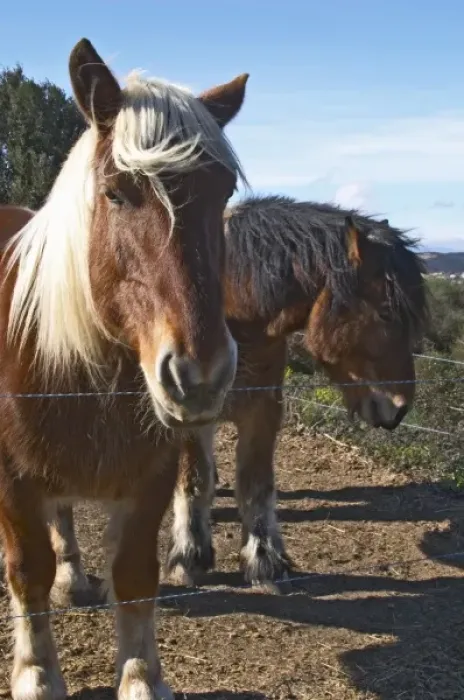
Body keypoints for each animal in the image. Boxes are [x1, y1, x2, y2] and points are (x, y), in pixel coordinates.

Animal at [0, 35, 249, 700]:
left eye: (222, 195)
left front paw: (141, 677)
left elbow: (136, 576)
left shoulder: (151, 474)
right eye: (115, 192)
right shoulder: (12, 479)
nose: (199, 373)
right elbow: (25, 570)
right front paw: (36, 672)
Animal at [18, 194, 428, 600]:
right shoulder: (187, 414)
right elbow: (194, 480)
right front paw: (189, 555)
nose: (398, 409)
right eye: (385, 312)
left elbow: (256, 484)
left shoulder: (263, 409)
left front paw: (265, 560)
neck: (234, 311)